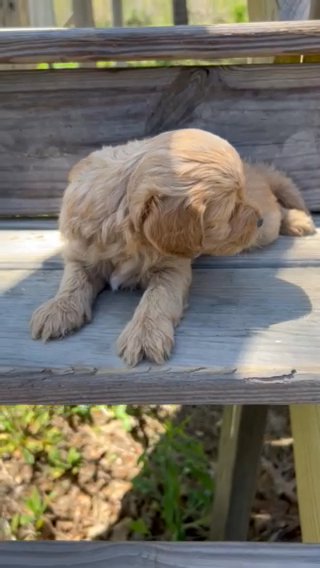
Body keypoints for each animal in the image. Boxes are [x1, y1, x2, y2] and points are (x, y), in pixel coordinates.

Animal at [30, 127, 316, 366]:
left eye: (238, 199)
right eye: (230, 209)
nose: (255, 220)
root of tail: (254, 168)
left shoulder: (172, 268)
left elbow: (157, 298)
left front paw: (145, 334)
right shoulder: (81, 252)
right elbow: (73, 280)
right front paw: (58, 310)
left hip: (264, 228)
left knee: (276, 211)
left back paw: (297, 220)